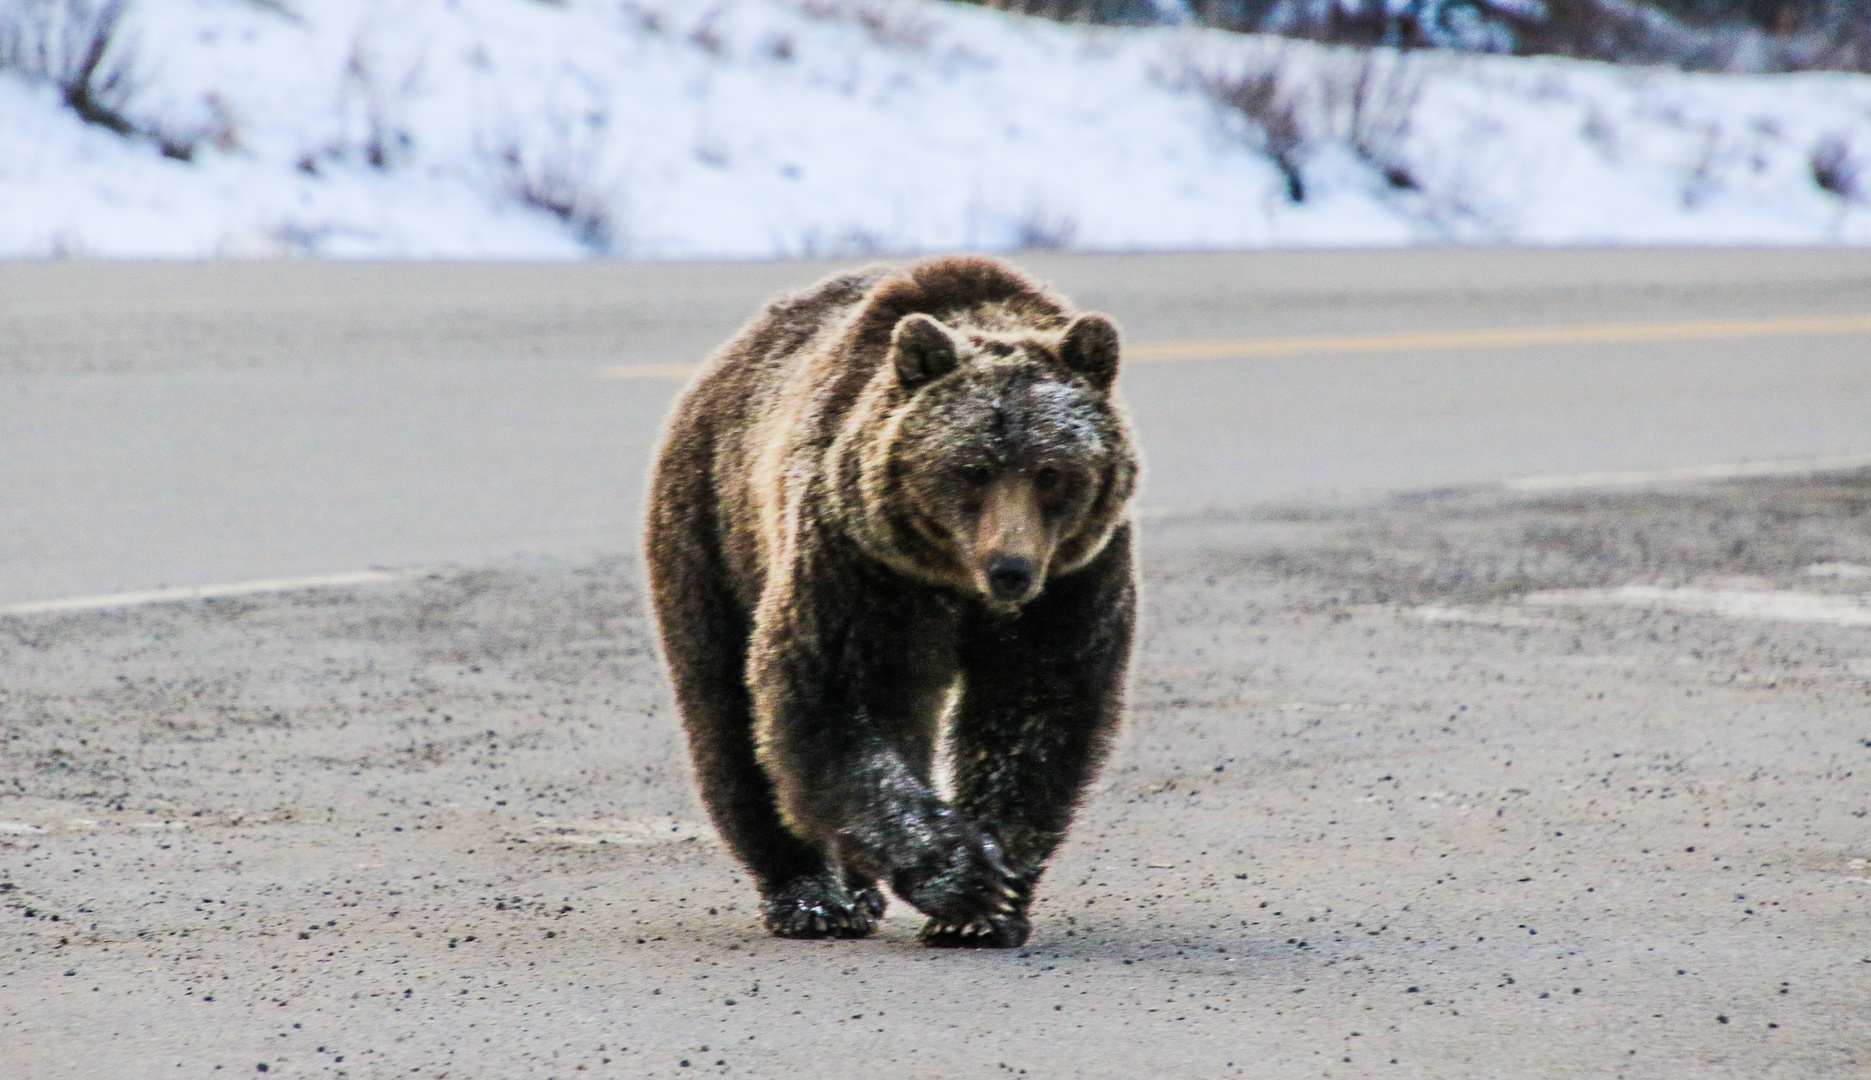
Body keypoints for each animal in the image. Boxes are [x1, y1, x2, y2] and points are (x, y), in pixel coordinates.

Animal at [643, 252, 1137, 943]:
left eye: (1051, 471)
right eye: (972, 469)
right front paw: (962, 877)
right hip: (711, 528)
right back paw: (811, 896)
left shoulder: (1072, 579)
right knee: (728, 711)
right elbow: (836, 697)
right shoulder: (861, 564)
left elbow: (1037, 705)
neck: (954, 579)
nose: (1010, 570)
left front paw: (989, 902)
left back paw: (856, 889)